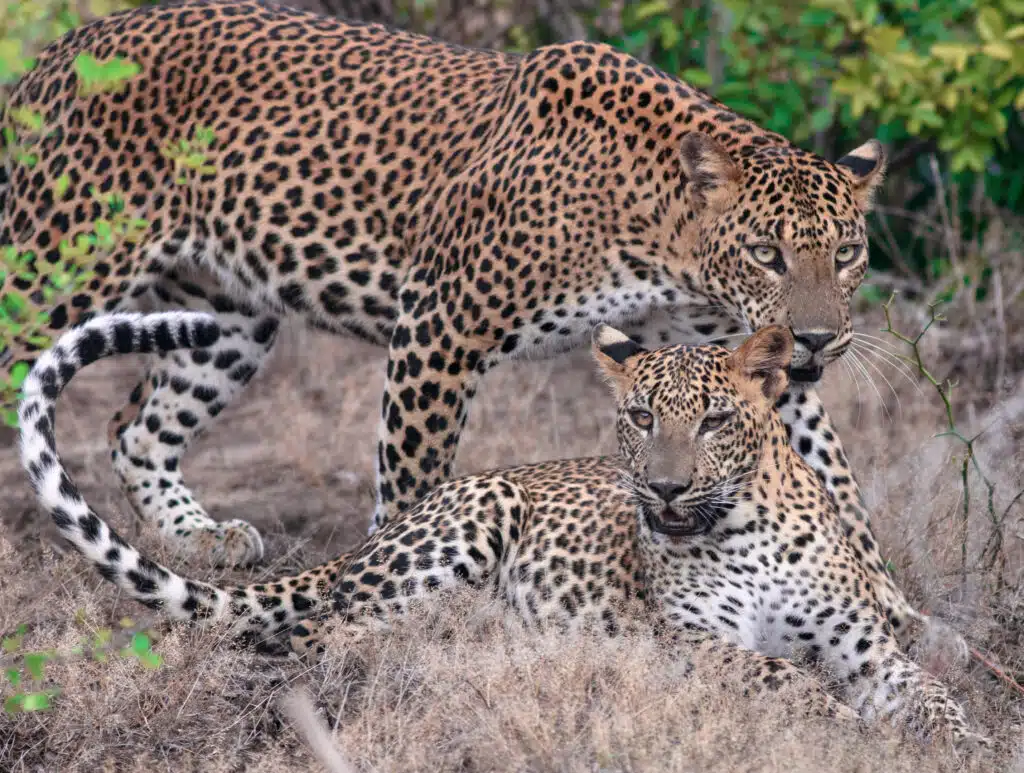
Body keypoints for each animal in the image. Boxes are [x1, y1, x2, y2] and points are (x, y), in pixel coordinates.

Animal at [1, 0, 940, 657]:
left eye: (847, 253)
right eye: (767, 254)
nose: (819, 340)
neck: (665, 239)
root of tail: (52, 59)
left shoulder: (739, 360)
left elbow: (833, 477)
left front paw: (891, 602)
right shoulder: (441, 322)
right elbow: (412, 484)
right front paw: (400, 598)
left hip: (228, 316)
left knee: (137, 426)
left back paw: (199, 535)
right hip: (53, 269)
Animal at [18, 309, 990, 751]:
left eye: (715, 421)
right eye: (641, 417)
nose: (665, 489)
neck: (744, 525)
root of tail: (367, 542)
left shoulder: (866, 647)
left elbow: (932, 695)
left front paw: (965, 740)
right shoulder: (690, 644)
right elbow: (783, 676)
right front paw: (847, 727)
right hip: (475, 513)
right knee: (327, 630)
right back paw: (476, 644)